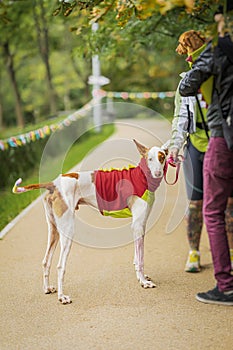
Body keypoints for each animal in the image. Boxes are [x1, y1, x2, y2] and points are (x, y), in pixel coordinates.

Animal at [12, 139, 167, 304]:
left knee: (46, 261)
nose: (157, 173)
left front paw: (140, 278)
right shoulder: (138, 226)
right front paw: (143, 281)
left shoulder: (138, 227)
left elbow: (137, 258)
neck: (141, 176)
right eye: (149, 159)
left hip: (54, 230)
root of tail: (54, 184)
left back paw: (47, 288)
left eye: (162, 157)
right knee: (60, 266)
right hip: (68, 231)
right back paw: (62, 297)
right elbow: (141, 259)